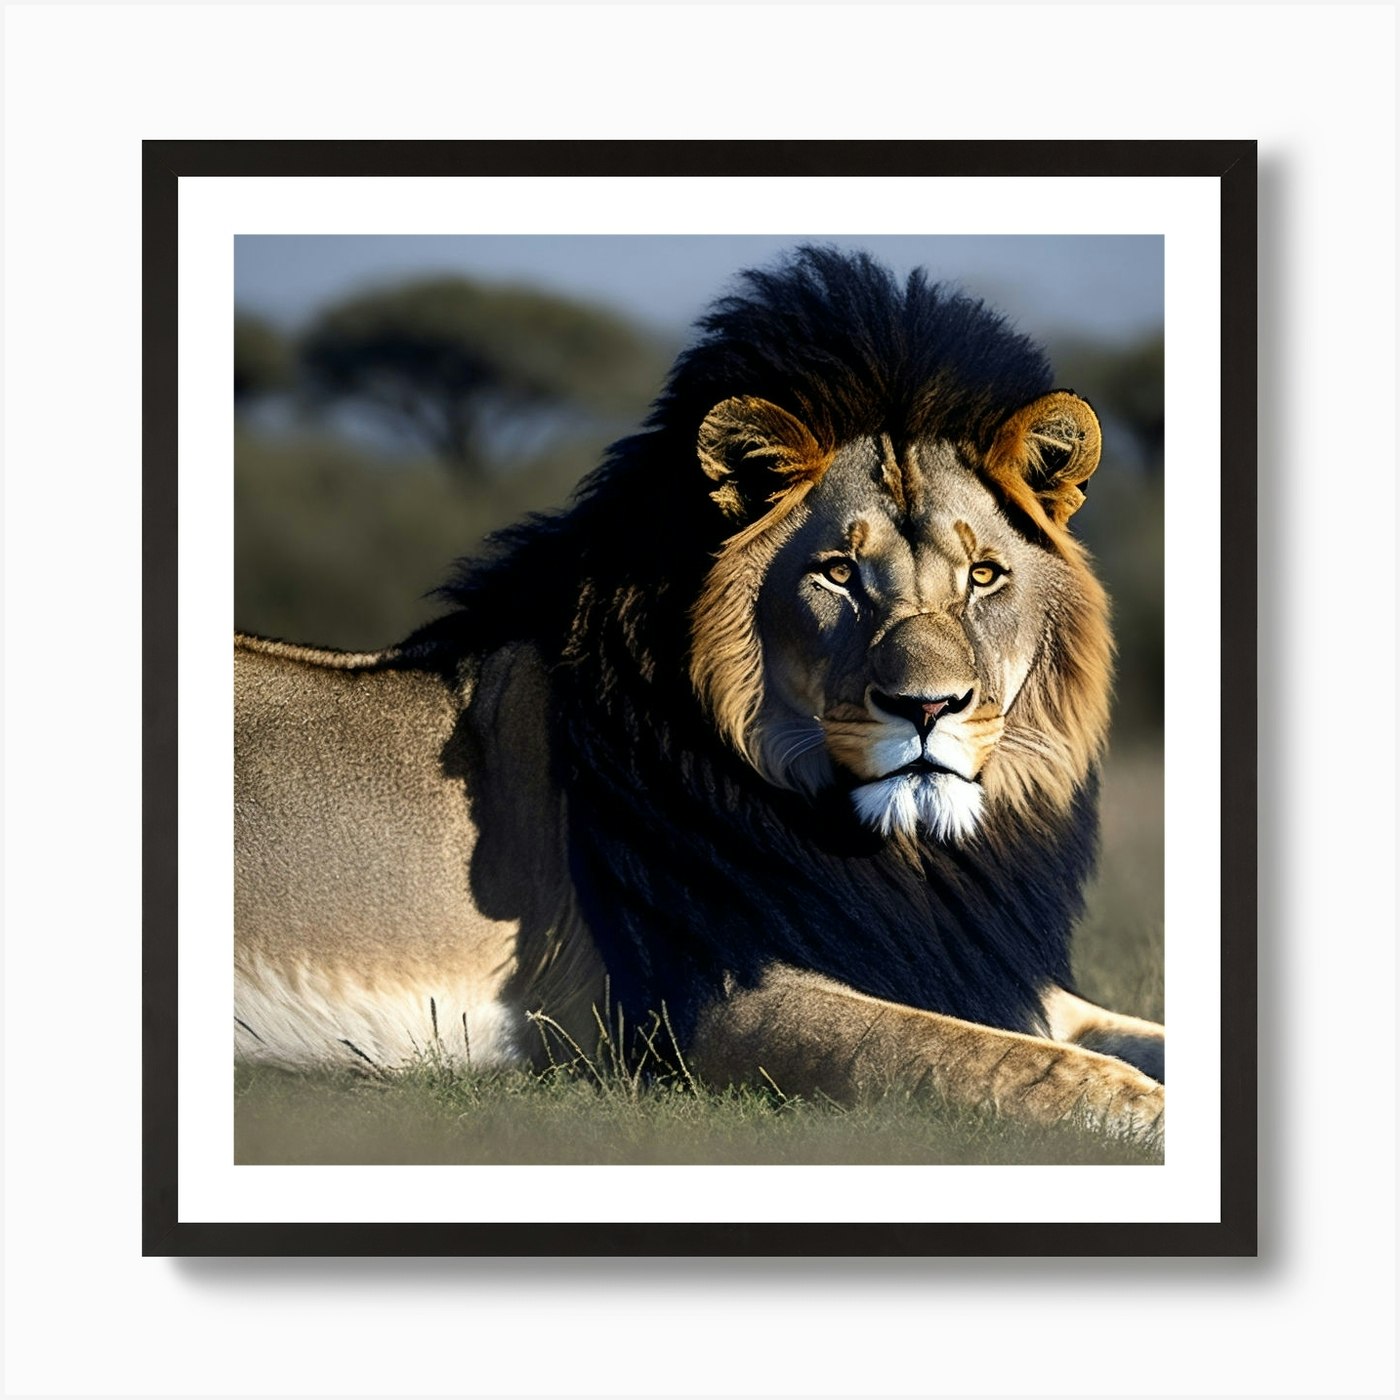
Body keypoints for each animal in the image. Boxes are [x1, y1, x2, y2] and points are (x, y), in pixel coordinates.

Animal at [235, 247, 1165, 1141]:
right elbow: (1029, 1069)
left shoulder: (984, 974)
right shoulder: (707, 1007)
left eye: (983, 576)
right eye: (839, 573)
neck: (909, 855)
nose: (927, 708)